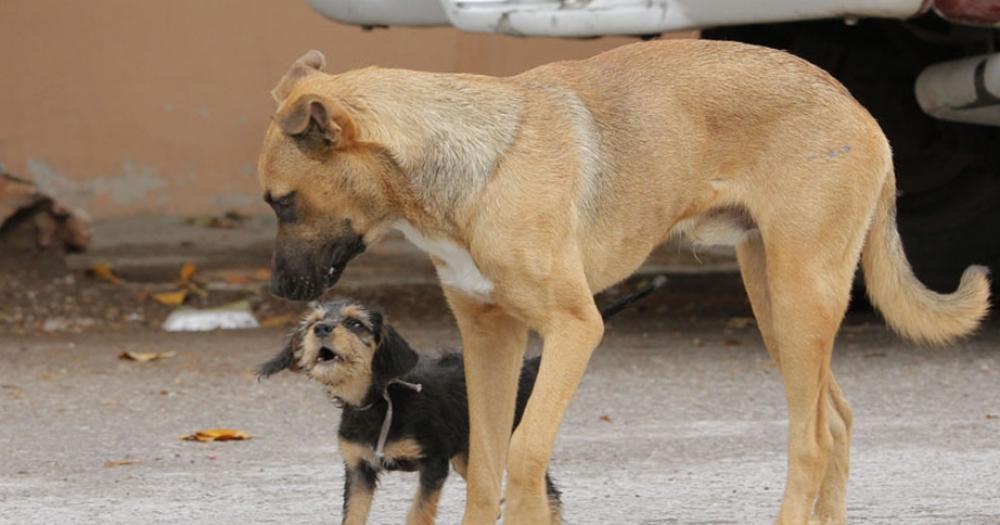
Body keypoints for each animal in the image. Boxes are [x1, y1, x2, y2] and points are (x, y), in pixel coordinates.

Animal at [258, 282, 664, 524]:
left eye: (356, 324)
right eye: (311, 323)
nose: (322, 329)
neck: (379, 401)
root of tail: (528, 365)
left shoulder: (433, 463)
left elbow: (418, 513)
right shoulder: (358, 470)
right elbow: (353, 517)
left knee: (547, 491)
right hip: (471, 453)